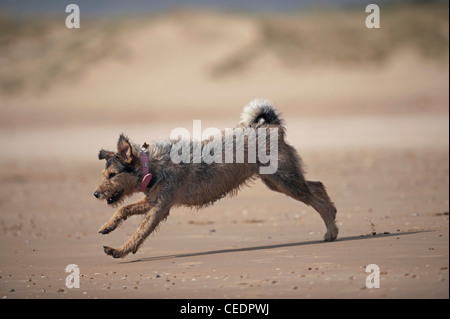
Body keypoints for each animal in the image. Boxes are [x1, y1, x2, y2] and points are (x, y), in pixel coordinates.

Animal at [93, 99, 338, 258]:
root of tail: (271, 127)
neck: (152, 165)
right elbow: (123, 209)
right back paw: (333, 217)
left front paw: (120, 250)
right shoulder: (152, 200)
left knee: (315, 199)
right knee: (317, 186)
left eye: (112, 175)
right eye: (104, 175)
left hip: (285, 181)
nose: (96, 193)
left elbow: (140, 232)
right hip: (276, 181)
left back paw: (331, 230)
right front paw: (108, 226)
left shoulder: (159, 207)